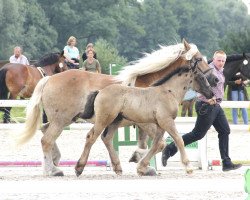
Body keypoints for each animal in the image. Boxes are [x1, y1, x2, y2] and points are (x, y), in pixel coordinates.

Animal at [74, 65, 213, 176]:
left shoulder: (160, 125)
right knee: (91, 137)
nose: (211, 94)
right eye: (201, 77)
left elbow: (157, 144)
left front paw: (141, 167)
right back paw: (79, 168)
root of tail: (100, 91)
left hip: (114, 121)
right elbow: (179, 140)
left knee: (106, 138)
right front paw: (188, 167)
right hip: (104, 120)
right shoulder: (167, 122)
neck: (169, 92)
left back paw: (118, 168)